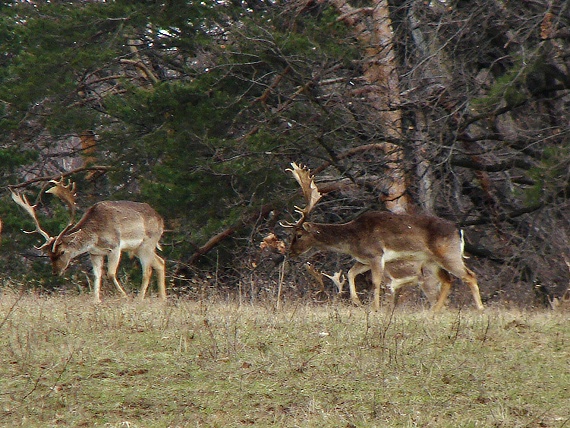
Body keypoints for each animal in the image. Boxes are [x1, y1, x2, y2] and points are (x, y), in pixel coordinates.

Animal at [10, 179, 166, 302]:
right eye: (48, 254)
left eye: (62, 252)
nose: (55, 272)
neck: (95, 236)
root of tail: (160, 219)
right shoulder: (95, 253)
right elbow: (97, 275)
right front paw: (96, 300)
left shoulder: (115, 246)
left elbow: (110, 274)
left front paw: (125, 296)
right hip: (137, 248)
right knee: (160, 262)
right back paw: (162, 299)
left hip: (148, 242)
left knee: (147, 270)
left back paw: (139, 299)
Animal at [282, 163, 482, 310]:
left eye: (298, 234)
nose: (289, 252)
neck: (353, 239)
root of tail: (458, 230)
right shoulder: (364, 259)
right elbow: (350, 272)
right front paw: (357, 301)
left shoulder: (376, 254)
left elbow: (376, 282)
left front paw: (375, 308)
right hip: (431, 261)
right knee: (448, 281)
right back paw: (434, 312)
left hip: (448, 254)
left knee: (470, 275)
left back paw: (480, 309)